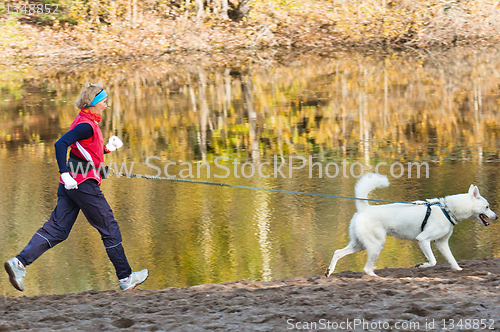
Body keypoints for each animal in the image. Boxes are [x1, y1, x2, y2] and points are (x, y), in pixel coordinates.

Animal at [324, 174, 496, 278]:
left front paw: (459, 271)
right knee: (366, 269)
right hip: (376, 245)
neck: (447, 209)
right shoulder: (423, 239)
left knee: (338, 252)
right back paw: (377, 278)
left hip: (360, 244)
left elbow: (452, 260)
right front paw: (421, 265)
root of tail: (364, 209)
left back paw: (329, 271)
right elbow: (433, 261)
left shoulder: (442, 243)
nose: (496, 216)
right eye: (487, 207)